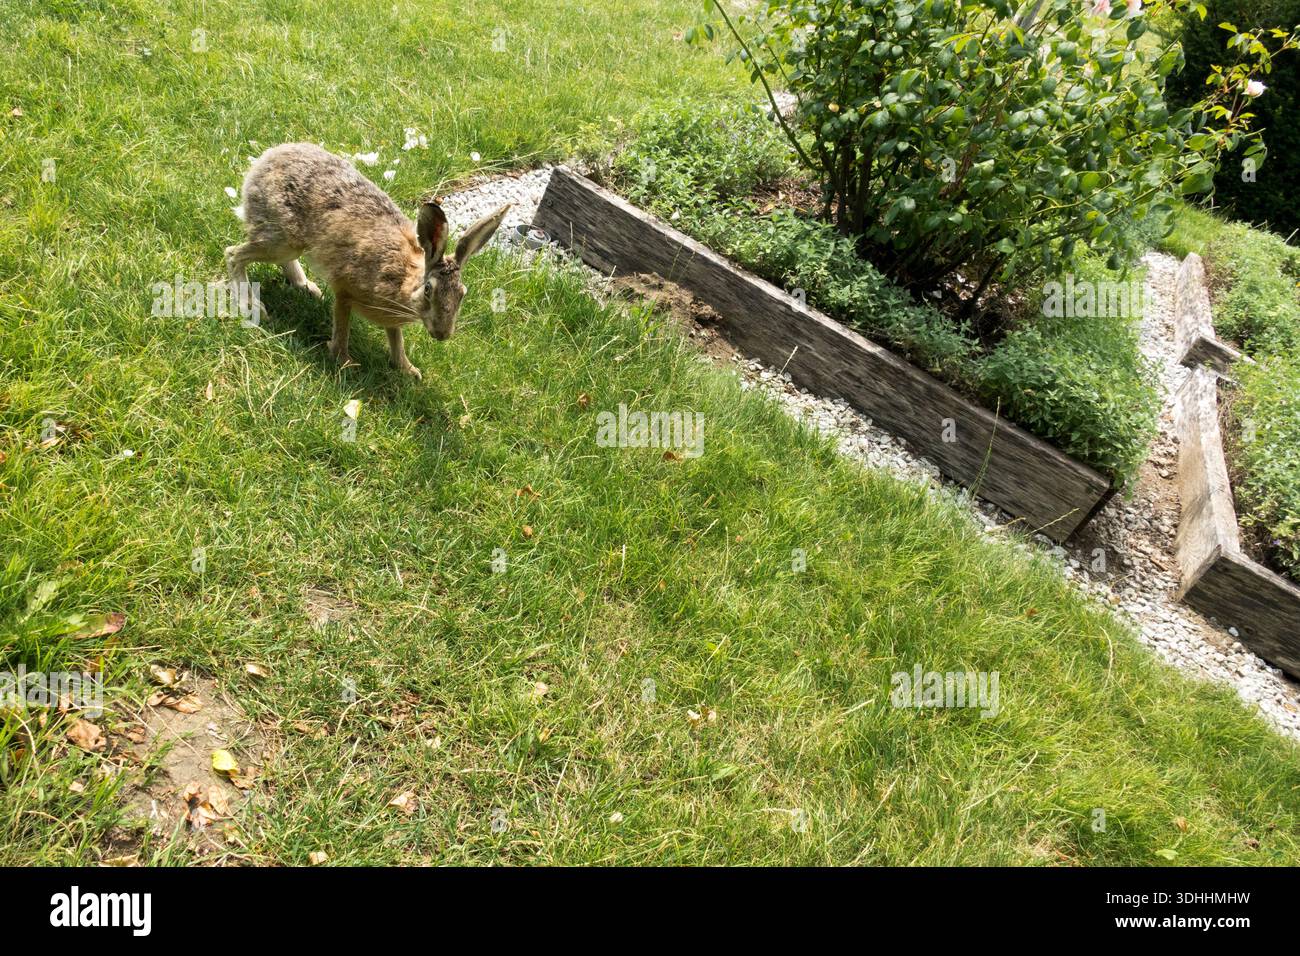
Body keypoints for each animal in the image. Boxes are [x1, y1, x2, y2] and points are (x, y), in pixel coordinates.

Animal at [225, 143, 510, 380]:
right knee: (233, 255)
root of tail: (265, 160)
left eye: (462, 293)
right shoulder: (345, 291)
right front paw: (344, 361)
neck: (405, 278)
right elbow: (342, 326)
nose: (442, 334)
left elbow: (396, 340)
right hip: (281, 241)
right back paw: (252, 305)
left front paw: (408, 370)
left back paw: (307, 288)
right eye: (429, 290)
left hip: (289, 245)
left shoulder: (390, 319)